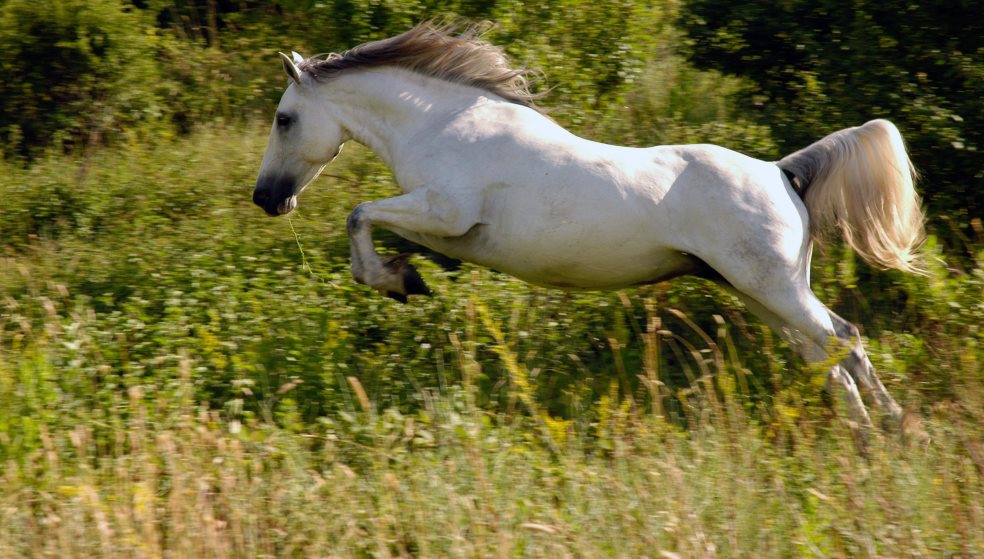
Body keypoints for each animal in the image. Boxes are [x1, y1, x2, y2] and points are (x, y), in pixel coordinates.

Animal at [252, 24, 924, 430]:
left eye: (284, 119)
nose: (266, 198)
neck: (444, 125)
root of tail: (782, 172)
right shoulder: (441, 225)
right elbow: (376, 225)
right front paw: (406, 276)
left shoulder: (446, 211)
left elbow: (360, 213)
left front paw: (396, 280)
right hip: (757, 291)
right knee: (823, 354)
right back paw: (861, 434)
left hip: (773, 288)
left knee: (845, 339)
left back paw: (893, 432)